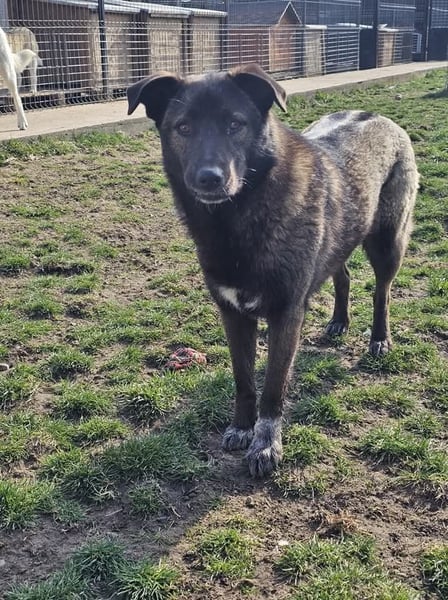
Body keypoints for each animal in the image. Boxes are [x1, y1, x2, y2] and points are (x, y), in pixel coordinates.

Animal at [127, 64, 418, 477]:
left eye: (235, 124)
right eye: (183, 127)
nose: (209, 178)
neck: (236, 220)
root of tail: (377, 115)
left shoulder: (286, 316)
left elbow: (272, 389)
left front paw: (266, 446)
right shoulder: (233, 315)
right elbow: (244, 381)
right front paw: (241, 429)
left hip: (387, 244)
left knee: (382, 293)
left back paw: (379, 339)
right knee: (343, 276)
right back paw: (338, 322)